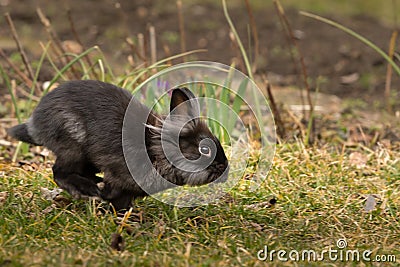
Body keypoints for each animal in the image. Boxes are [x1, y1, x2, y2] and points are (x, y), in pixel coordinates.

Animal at [7, 80, 228, 210]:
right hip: (73, 147)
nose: (225, 170)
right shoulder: (119, 177)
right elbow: (115, 196)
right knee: (59, 172)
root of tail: (35, 125)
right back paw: (89, 190)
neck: (157, 149)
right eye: (204, 149)